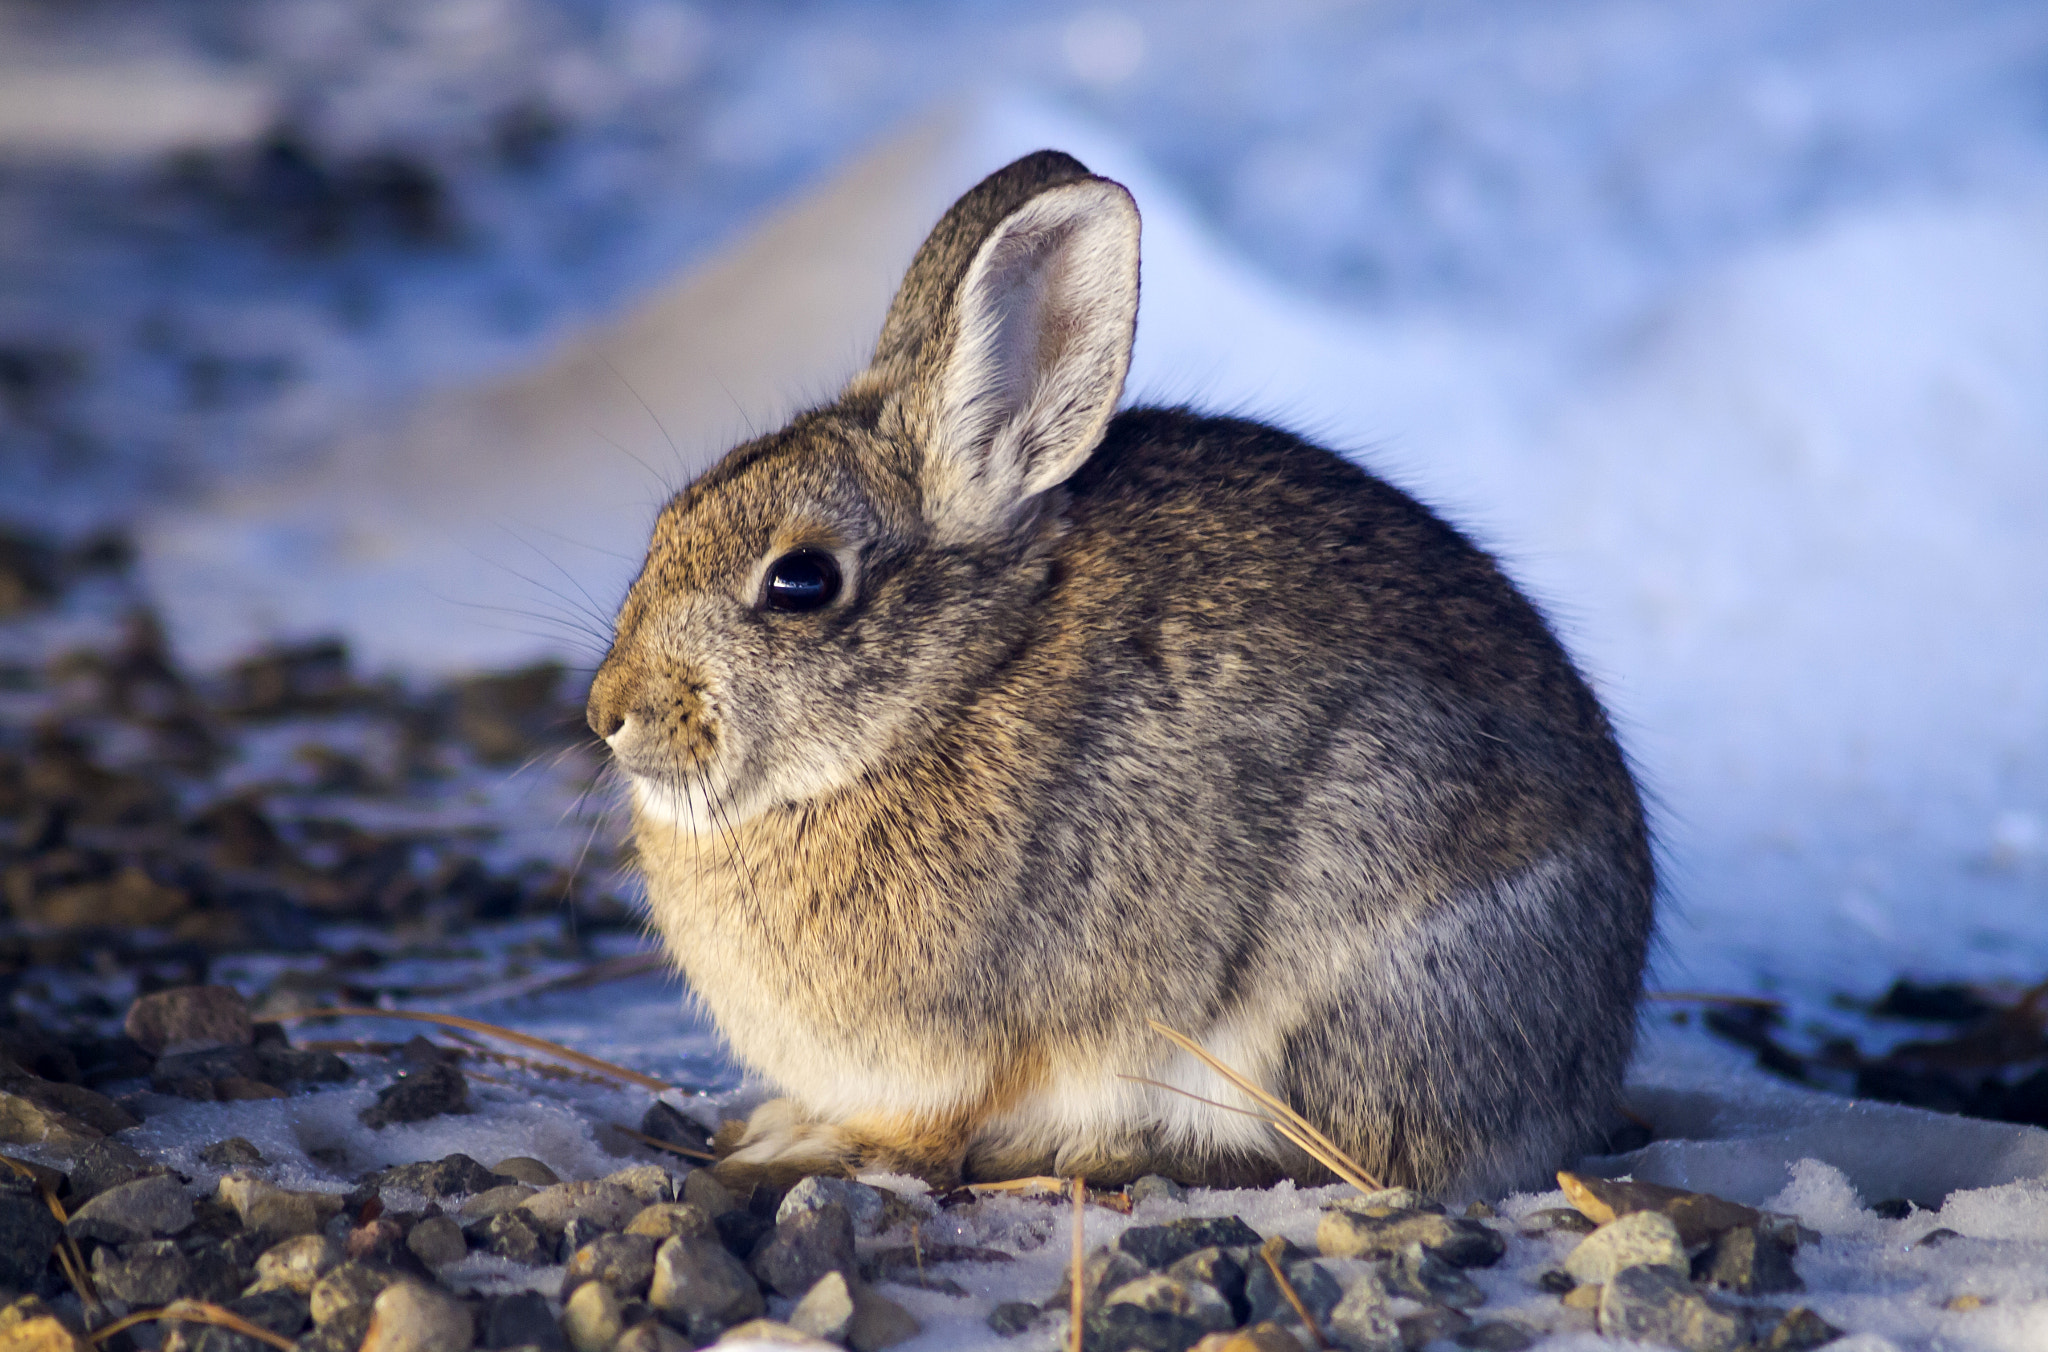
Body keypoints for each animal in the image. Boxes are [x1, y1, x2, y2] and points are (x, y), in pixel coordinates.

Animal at [586, 149, 1654, 1198]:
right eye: (667, 522)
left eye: (800, 581)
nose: (609, 713)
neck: (947, 694)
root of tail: (1590, 1055)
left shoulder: (956, 1054)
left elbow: (920, 1130)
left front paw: (798, 1150)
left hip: (1350, 975)